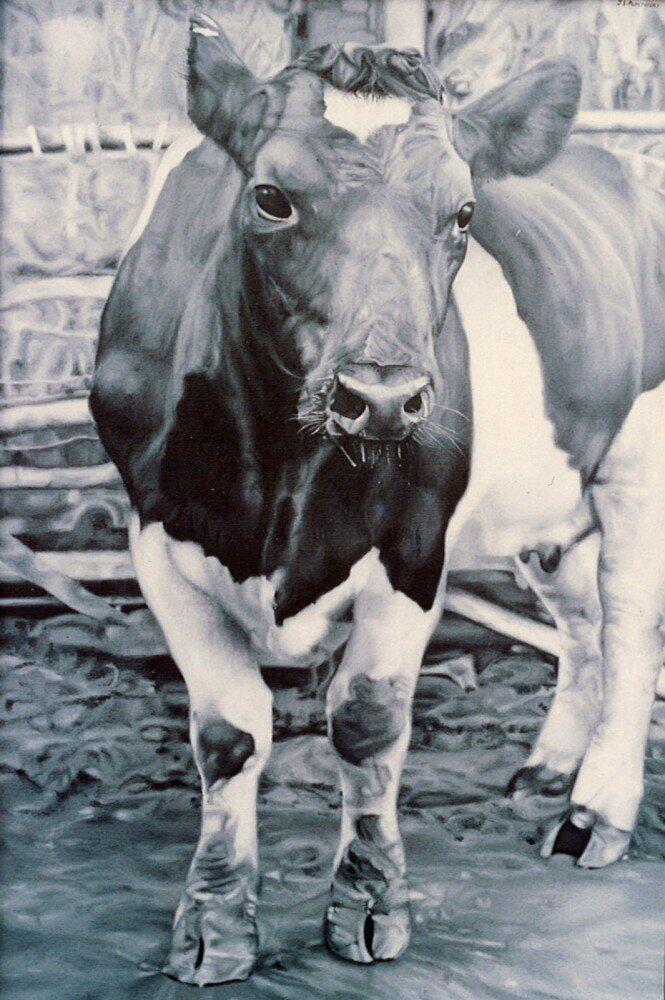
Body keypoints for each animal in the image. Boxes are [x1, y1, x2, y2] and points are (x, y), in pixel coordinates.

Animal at [90, 14, 665, 986]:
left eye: (463, 213)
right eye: (270, 197)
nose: (385, 396)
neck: (276, 476)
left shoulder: (413, 542)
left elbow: (365, 722)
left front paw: (367, 906)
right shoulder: (156, 535)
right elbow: (227, 735)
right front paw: (214, 922)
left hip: (639, 462)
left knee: (628, 628)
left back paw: (595, 814)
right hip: (550, 507)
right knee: (581, 623)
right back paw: (550, 767)